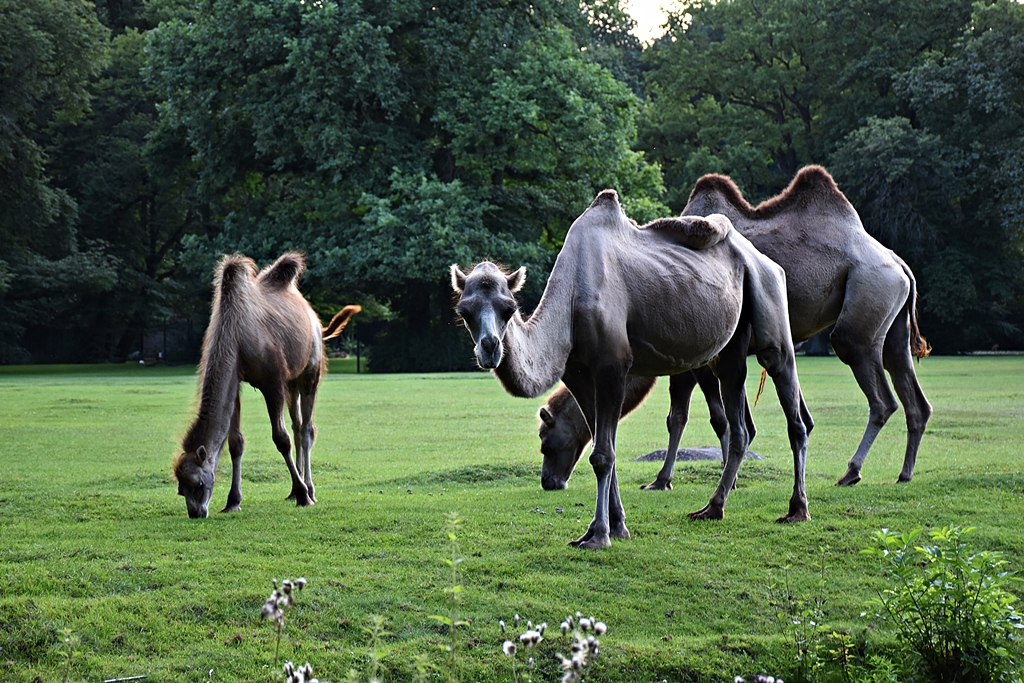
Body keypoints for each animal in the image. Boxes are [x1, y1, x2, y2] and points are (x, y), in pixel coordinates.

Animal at [172, 252, 360, 518]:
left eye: (199, 484)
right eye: (181, 489)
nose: (196, 513)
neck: (234, 335)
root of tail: (314, 319)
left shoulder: (272, 380)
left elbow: (281, 439)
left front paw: (303, 496)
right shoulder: (236, 379)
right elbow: (236, 442)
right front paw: (233, 501)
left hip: (310, 370)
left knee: (306, 429)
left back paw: (309, 489)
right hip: (291, 382)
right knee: (297, 424)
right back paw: (293, 489)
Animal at [452, 189, 813, 549]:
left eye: (508, 308)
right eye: (464, 311)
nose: (490, 347)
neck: (572, 300)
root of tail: (765, 260)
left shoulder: (612, 366)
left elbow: (602, 455)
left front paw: (599, 535)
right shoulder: (580, 377)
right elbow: (602, 447)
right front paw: (615, 526)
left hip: (768, 296)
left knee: (788, 398)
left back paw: (796, 509)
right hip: (729, 349)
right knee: (739, 423)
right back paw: (712, 508)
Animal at [537, 165, 932, 492]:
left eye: (546, 438)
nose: (550, 482)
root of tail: (898, 262)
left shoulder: (696, 359)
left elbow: (701, 418)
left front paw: (677, 479)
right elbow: (709, 418)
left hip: (866, 301)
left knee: (876, 390)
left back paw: (852, 471)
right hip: (892, 320)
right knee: (912, 391)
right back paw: (905, 472)